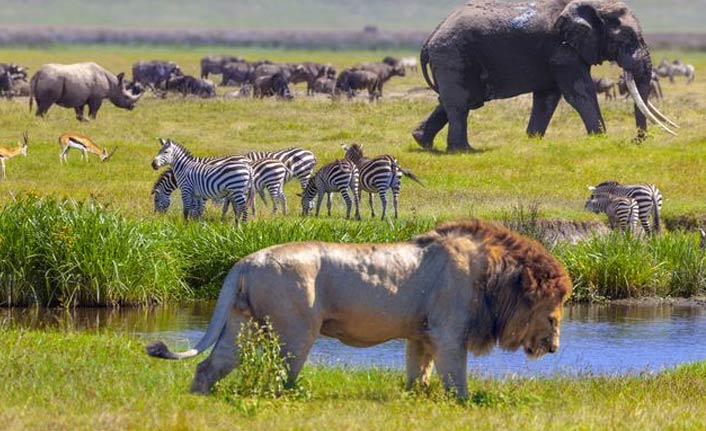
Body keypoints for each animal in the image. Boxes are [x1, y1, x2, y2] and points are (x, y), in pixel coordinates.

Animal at [146, 221, 568, 400]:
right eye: (552, 314)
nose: (554, 349)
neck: (493, 276)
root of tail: (245, 261)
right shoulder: (449, 333)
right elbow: (455, 377)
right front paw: (463, 404)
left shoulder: (421, 334)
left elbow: (419, 373)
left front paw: (415, 398)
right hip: (295, 331)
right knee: (279, 377)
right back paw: (291, 398)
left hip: (242, 324)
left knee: (210, 365)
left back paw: (199, 398)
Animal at [412, 0, 676, 153]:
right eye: (628, 38)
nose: (636, 141)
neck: (592, 5)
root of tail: (429, 39)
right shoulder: (562, 51)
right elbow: (579, 92)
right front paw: (600, 139)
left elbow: (548, 97)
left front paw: (533, 140)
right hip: (452, 55)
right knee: (460, 103)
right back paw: (463, 150)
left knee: (457, 101)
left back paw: (422, 142)